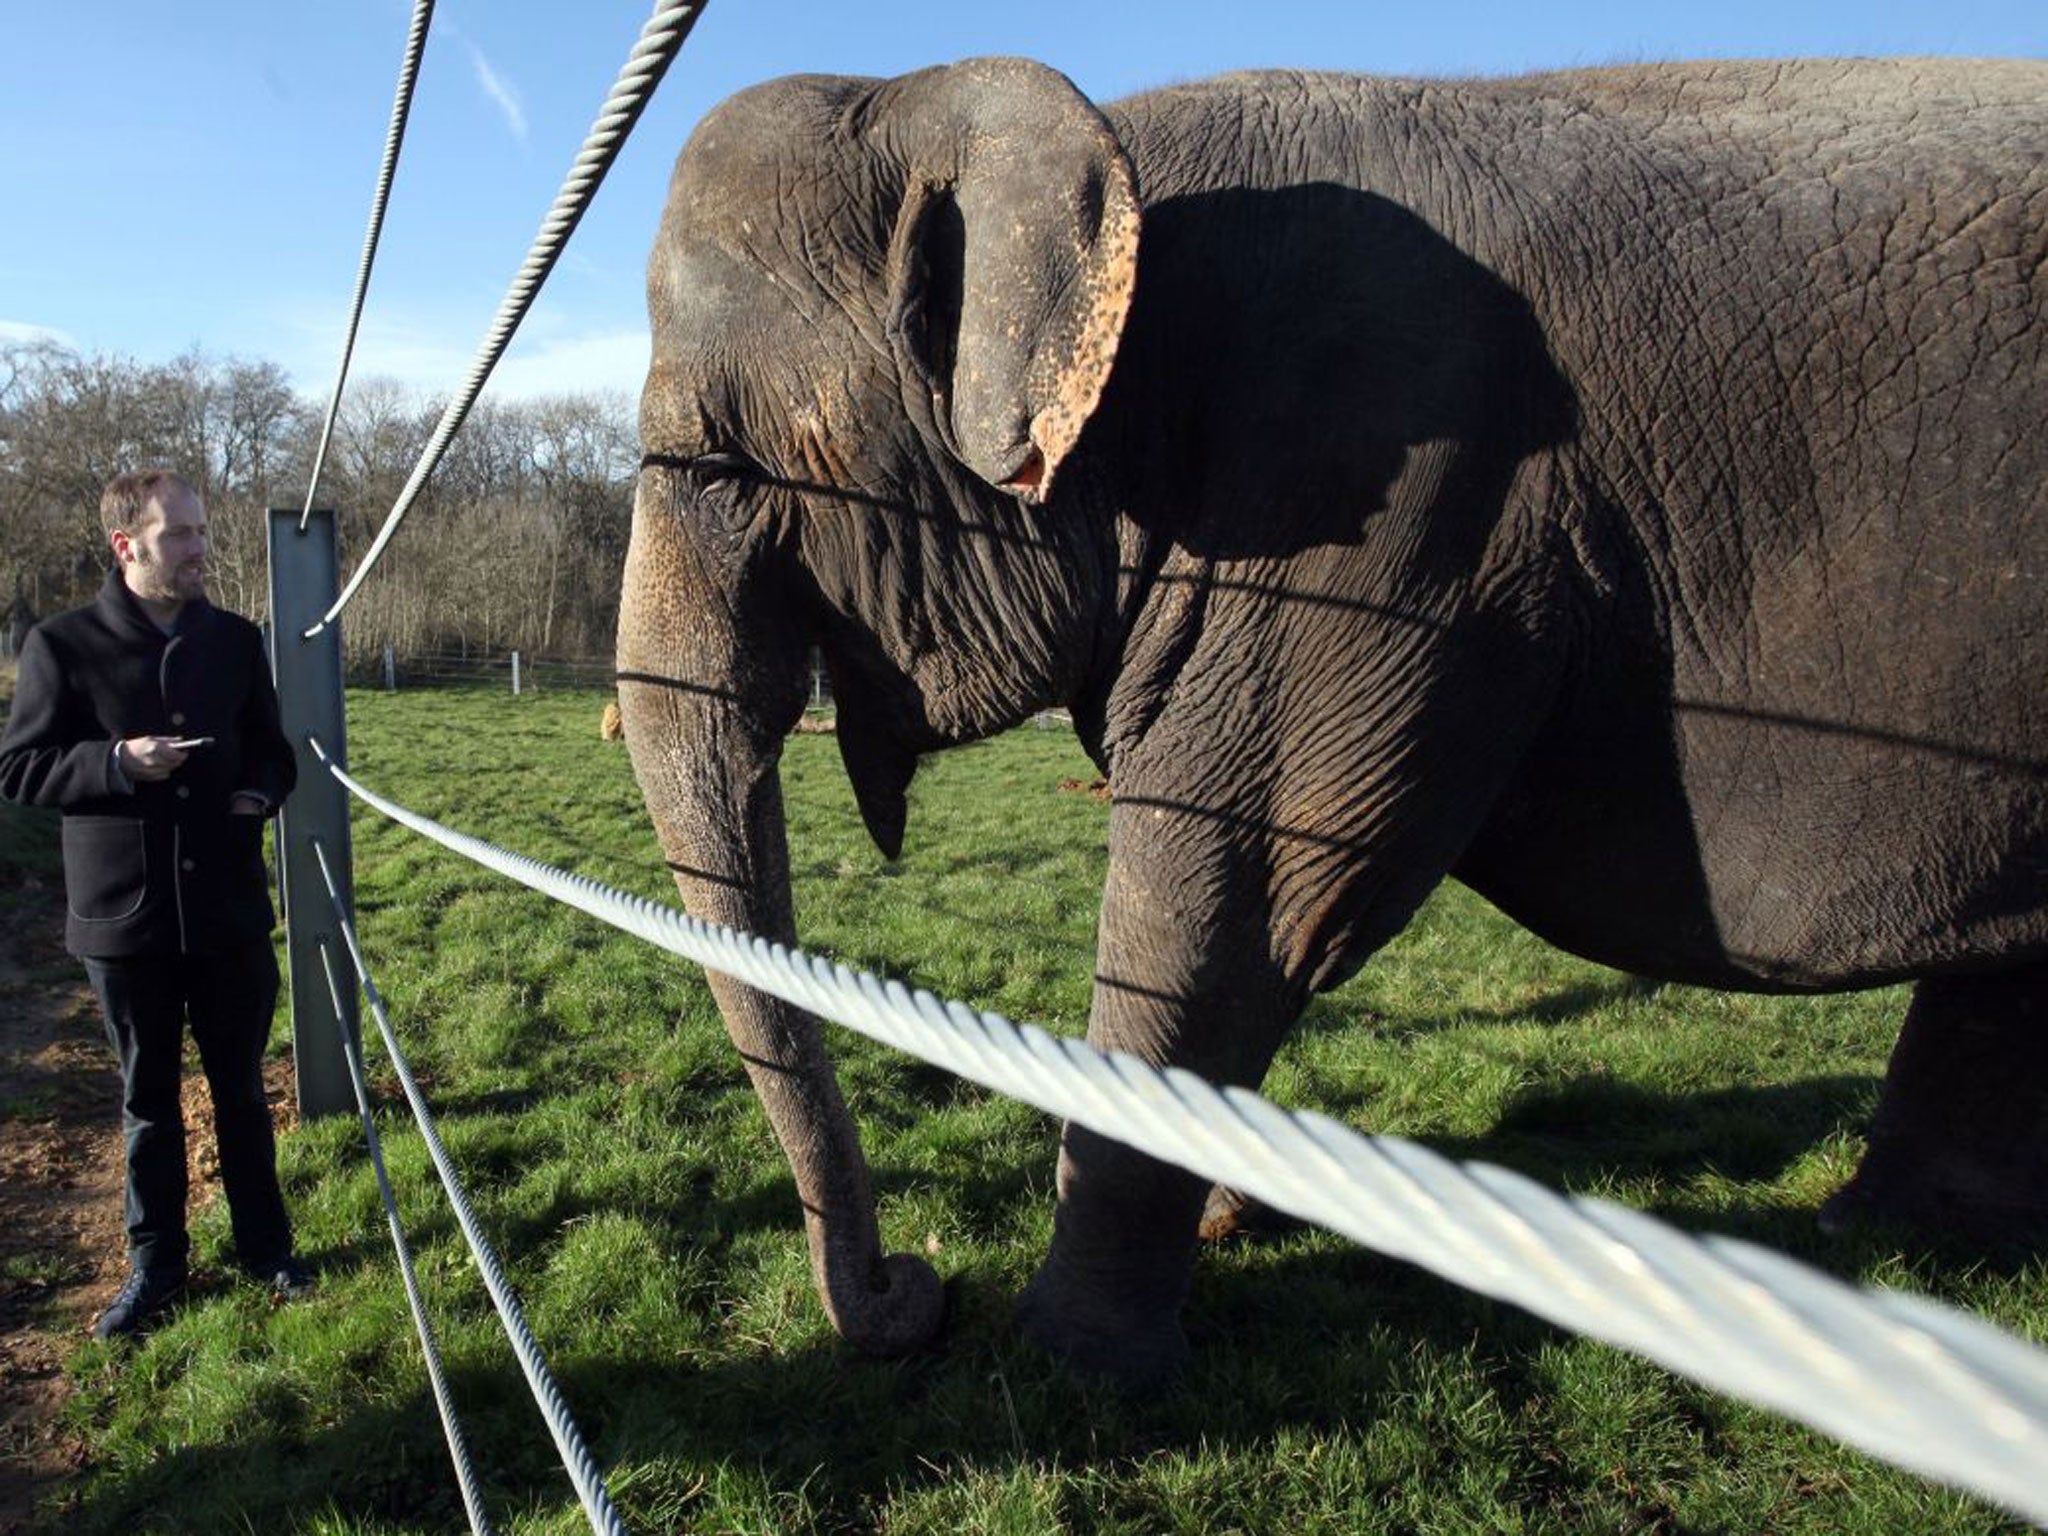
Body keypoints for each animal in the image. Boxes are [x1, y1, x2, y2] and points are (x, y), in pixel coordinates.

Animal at [618, 57, 2048, 1384]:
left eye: (723, 468)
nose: (912, 1293)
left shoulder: (1384, 503)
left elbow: (1245, 890)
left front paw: (1073, 1364)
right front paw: (1228, 1225)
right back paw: (1888, 1255)